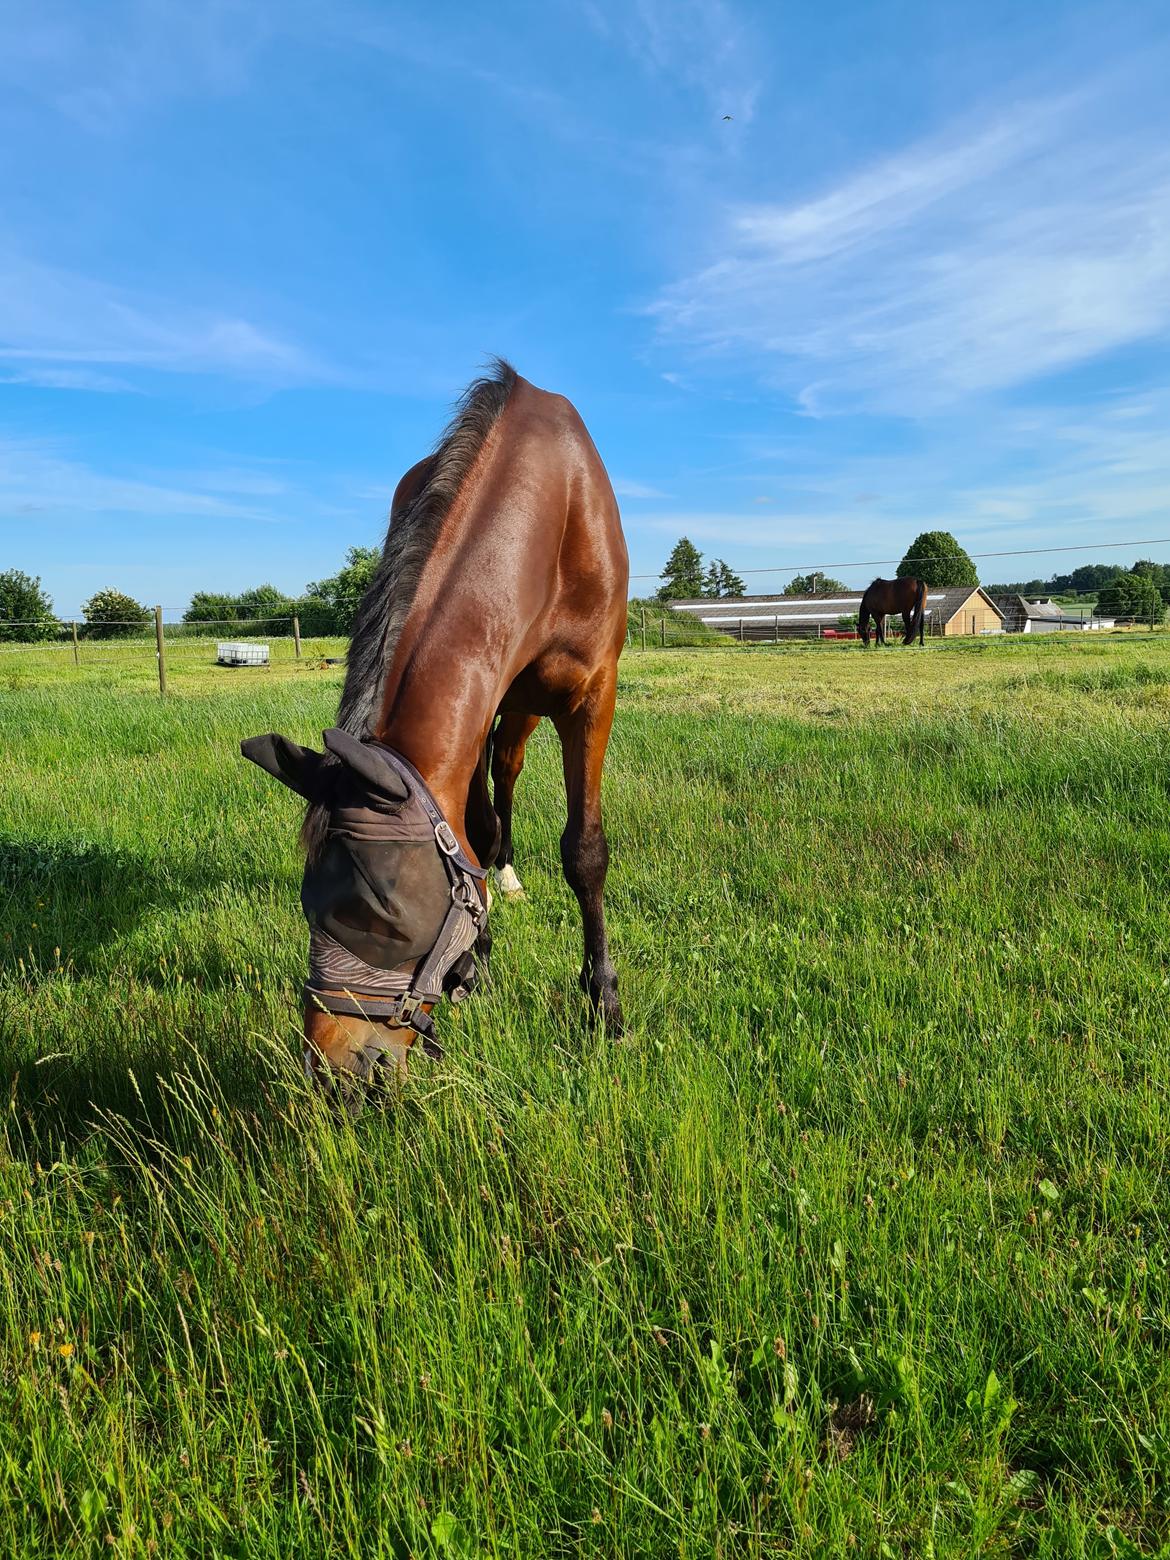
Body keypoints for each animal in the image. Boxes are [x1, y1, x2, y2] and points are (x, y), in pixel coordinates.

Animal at [240, 360, 633, 1085]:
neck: (553, 505)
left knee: (509, 767)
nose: (336, 1072)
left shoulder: (592, 694)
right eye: (308, 902)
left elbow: (585, 851)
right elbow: (471, 832)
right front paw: (477, 966)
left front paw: (604, 1008)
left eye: (383, 916)